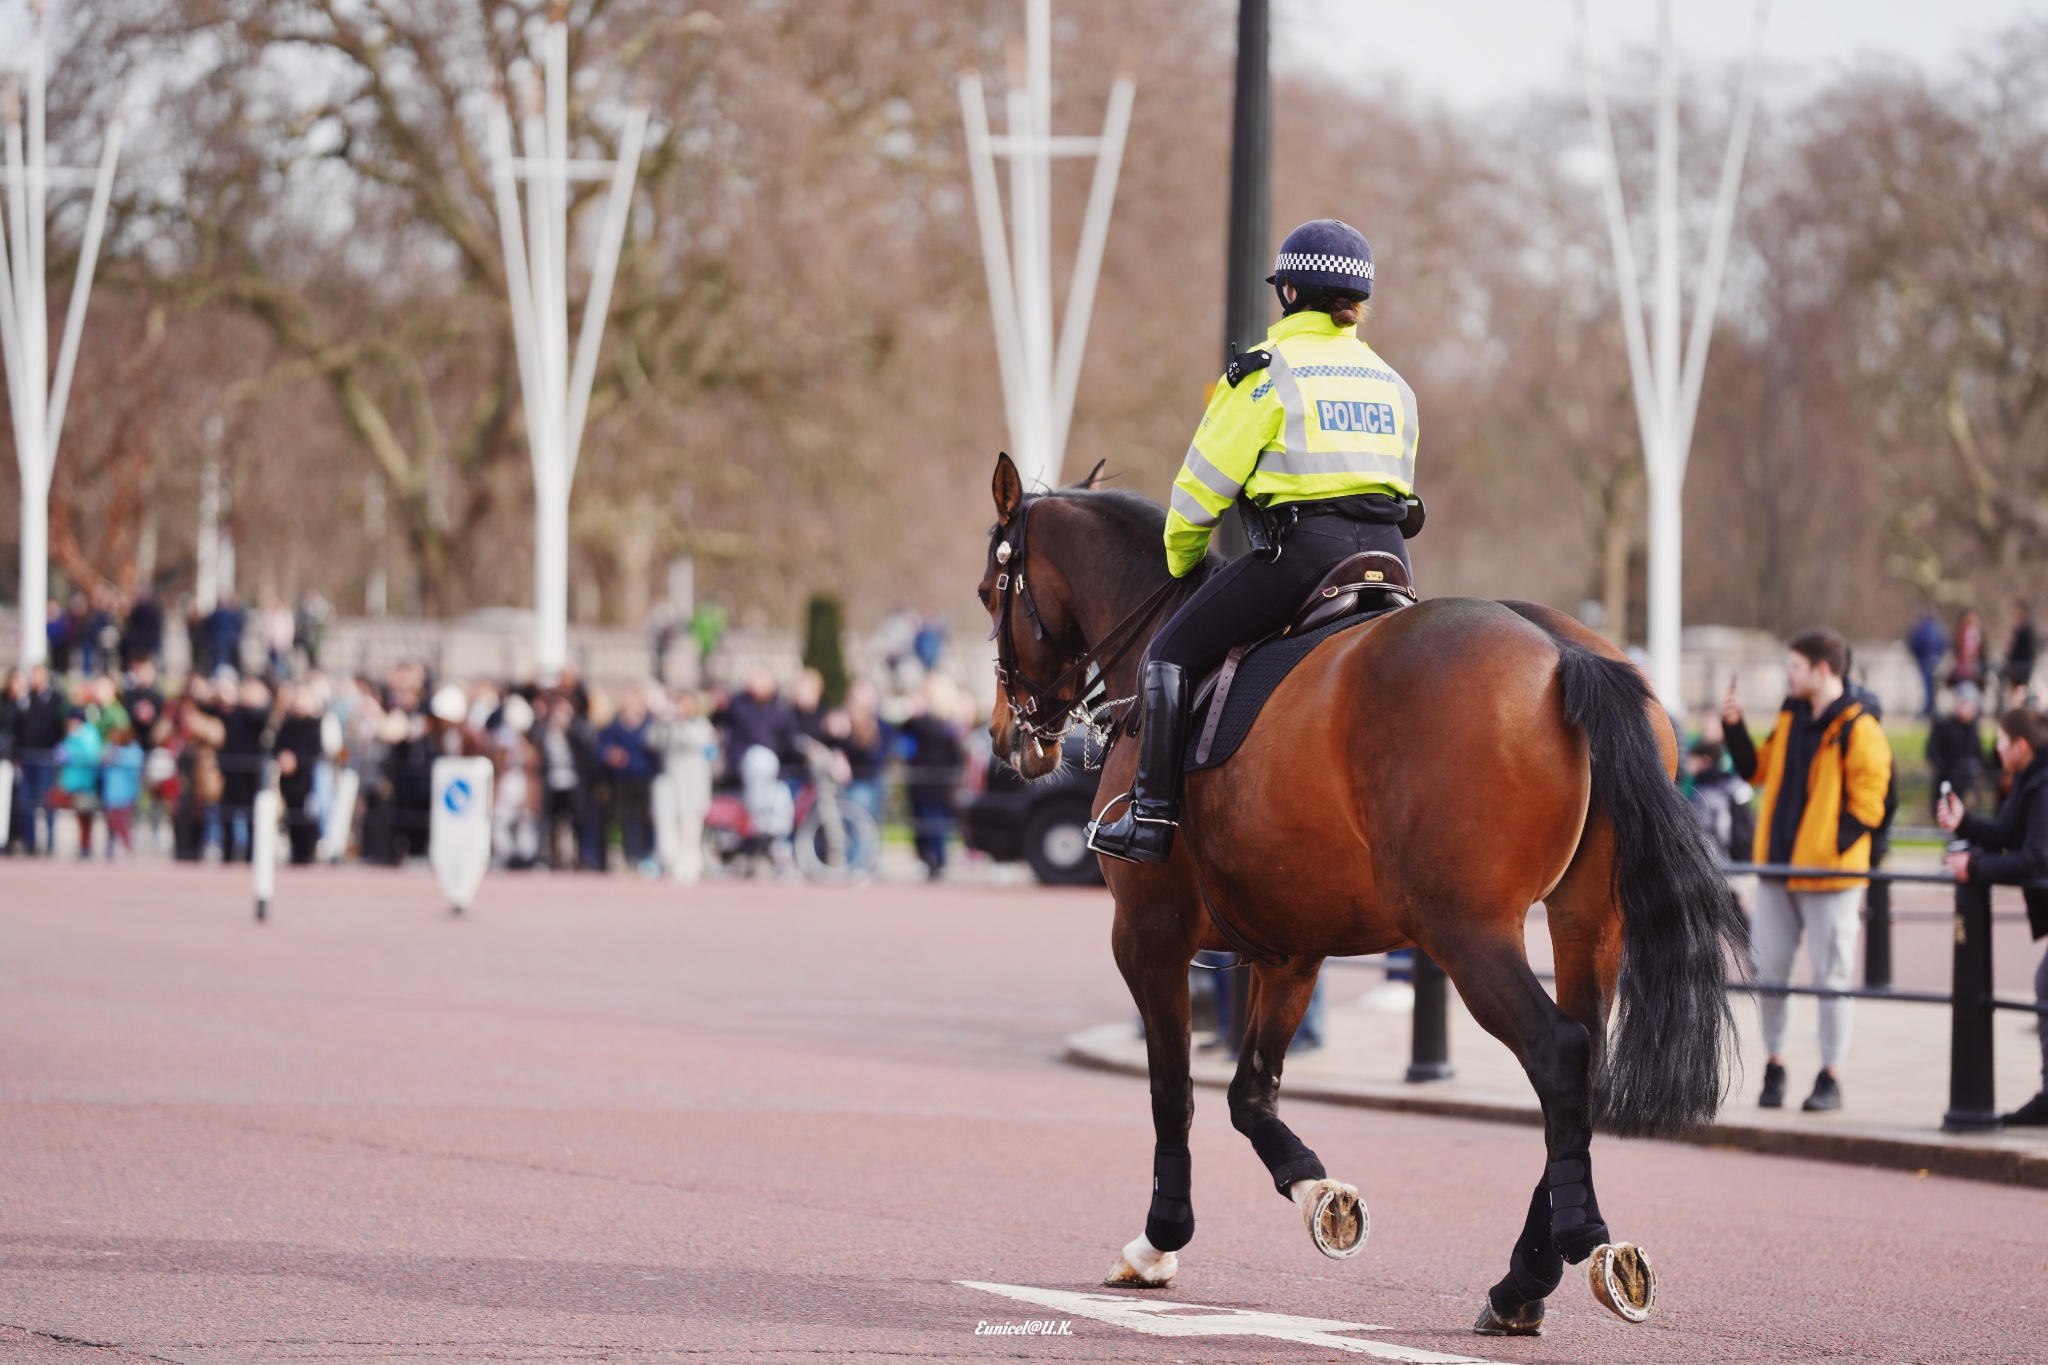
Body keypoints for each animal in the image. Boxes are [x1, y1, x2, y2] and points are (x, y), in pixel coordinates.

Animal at [978, 454, 1744, 1342]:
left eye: (990, 591)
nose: (1008, 735)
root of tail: (1560, 651)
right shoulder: (1290, 950)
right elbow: (1249, 1092)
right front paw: (1319, 1192)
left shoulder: (1148, 934)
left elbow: (1176, 1091)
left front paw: (1160, 1239)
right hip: (1587, 924)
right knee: (1581, 1058)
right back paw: (1522, 1278)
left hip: (1467, 931)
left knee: (1557, 1053)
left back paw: (1573, 1250)